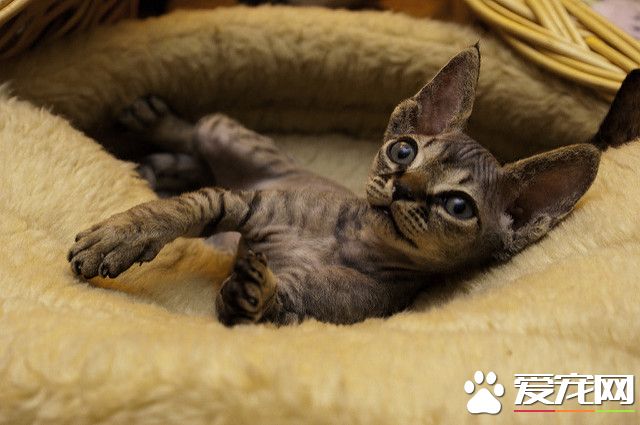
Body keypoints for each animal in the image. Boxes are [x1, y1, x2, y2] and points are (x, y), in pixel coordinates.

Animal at [68, 45, 606, 326]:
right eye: (403, 151)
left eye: (458, 205)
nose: (402, 187)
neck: (348, 240)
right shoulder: (244, 201)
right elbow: (178, 211)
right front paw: (117, 237)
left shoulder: (308, 310)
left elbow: (257, 306)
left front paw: (253, 288)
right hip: (230, 136)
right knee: (198, 134)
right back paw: (156, 128)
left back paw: (161, 168)